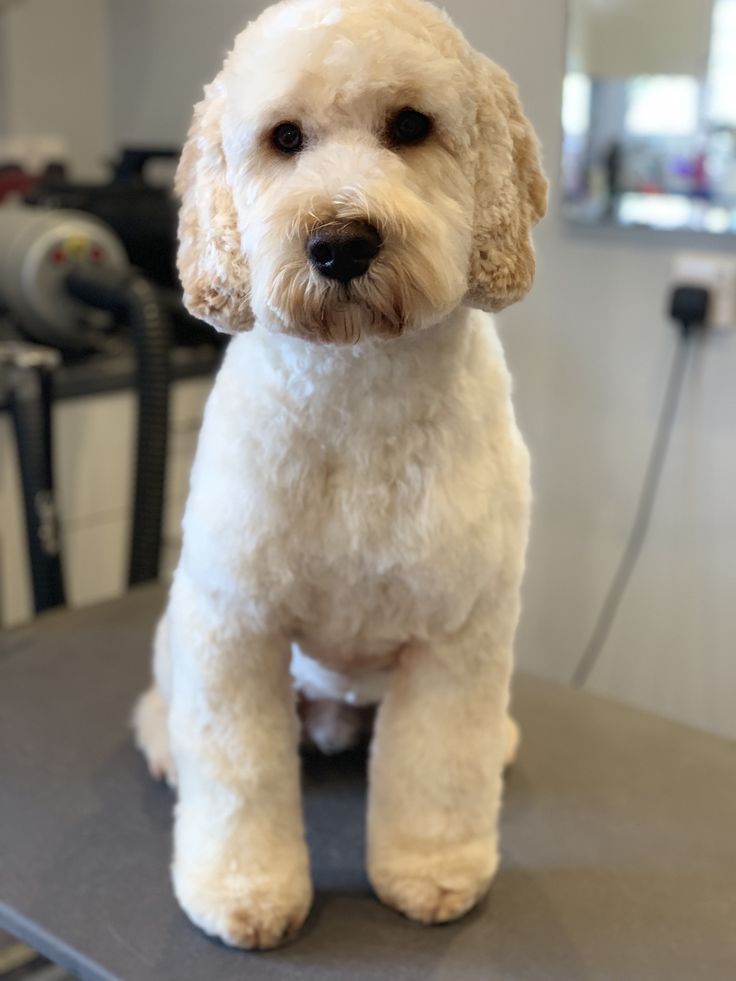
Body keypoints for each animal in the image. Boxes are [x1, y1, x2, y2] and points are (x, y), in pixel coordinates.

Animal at [134, 0, 548, 948]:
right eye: (284, 137)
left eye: (411, 126)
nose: (341, 242)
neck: (360, 397)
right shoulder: (234, 624)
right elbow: (239, 774)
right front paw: (244, 890)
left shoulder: (459, 636)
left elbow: (439, 765)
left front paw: (432, 871)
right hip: (181, 633)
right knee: (164, 706)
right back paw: (167, 743)